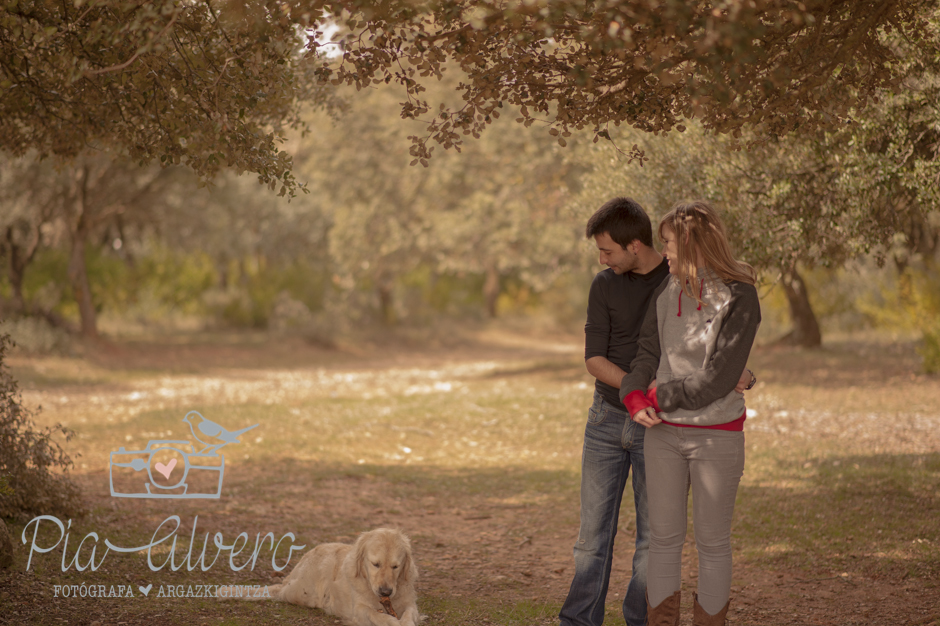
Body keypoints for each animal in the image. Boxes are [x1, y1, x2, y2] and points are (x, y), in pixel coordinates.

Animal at [218, 528, 420, 624]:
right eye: (375, 564)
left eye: (396, 566)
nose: (386, 592)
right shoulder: (358, 609)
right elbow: (375, 614)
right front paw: (391, 621)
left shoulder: (410, 603)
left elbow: (409, 613)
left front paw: (405, 622)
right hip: (305, 591)